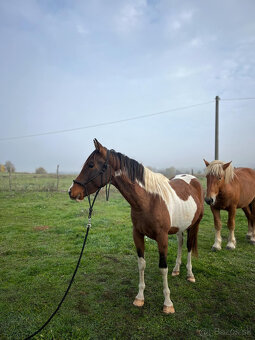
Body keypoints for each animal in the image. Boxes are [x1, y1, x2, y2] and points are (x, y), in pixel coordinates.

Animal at [68, 139, 204, 314]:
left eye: (91, 165)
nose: (72, 191)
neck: (149, 200)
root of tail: (193, 179)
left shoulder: (162, 238)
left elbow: (163, 268)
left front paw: (168, 303)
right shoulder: (137, 234)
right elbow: (141, 264)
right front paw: (139, 298)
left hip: (194, 225)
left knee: (188, 246)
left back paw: (189, 274)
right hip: (179, 227)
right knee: (180, 243)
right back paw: (176, 270)